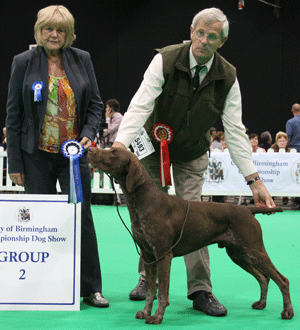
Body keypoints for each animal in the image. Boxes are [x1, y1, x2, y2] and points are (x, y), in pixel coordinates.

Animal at [88, 148, 294, 324]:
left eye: (114, 153)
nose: (90, 149)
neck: (144, 201)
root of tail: (248, 210)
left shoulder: (163, 255)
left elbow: (162, 292)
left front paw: (157, 317)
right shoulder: (148, 256)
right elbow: (150, 290)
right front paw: (146, 312)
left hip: (254, 249)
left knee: (282, 279)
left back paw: (288, 312)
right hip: (238, 254)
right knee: (263, 277)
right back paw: (262, 304)